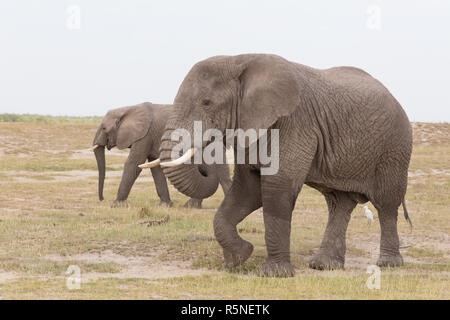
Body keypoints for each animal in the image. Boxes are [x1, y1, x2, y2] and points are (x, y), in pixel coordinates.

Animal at [91, 101, 232, 209]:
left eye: (103, 128)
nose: (102, 199)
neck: (127, 109)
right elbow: (155, 169)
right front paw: (165, 205)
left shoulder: (145, 135)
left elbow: (134, 164)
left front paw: (116, 205)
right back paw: (191, 206)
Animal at [149, 55, 414, 278]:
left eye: (206, 102)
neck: (238, 60)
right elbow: (247, 190)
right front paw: (239, 257)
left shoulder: (294, 123)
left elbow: (277, 188)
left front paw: (274, 274)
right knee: (338, 203)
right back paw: (324, 265)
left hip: (394, 148)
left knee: (386, 203)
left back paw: (388, 264)